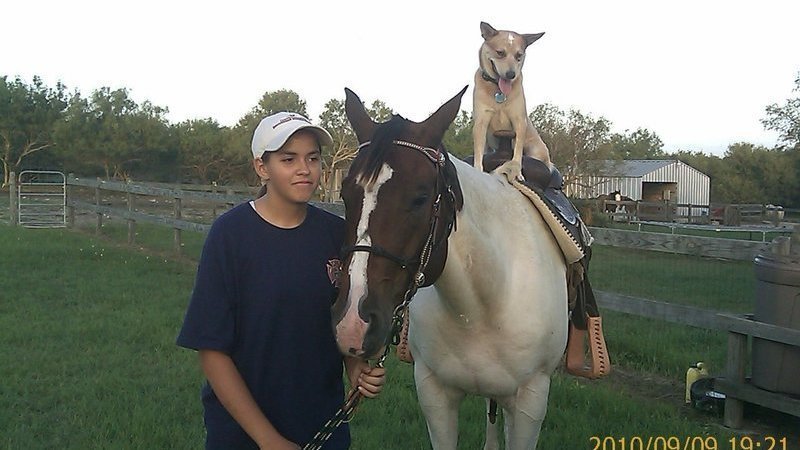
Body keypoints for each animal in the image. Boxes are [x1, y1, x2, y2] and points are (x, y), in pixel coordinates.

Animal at [331, 86, 568, 450]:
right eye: (346, 195)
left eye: (420, 197)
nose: (352, 325)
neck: (480, 306)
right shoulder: (434, 394)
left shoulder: (531, 404)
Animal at [472, 21, 552, 180]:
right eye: (500, 52)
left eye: (519, 55)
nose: (510, 74)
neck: (498, 91)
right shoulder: (481, 121)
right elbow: (478, 150)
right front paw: (478, 169)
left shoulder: (519, 121)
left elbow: (517, 151)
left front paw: (517, 172)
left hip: (536, 149)